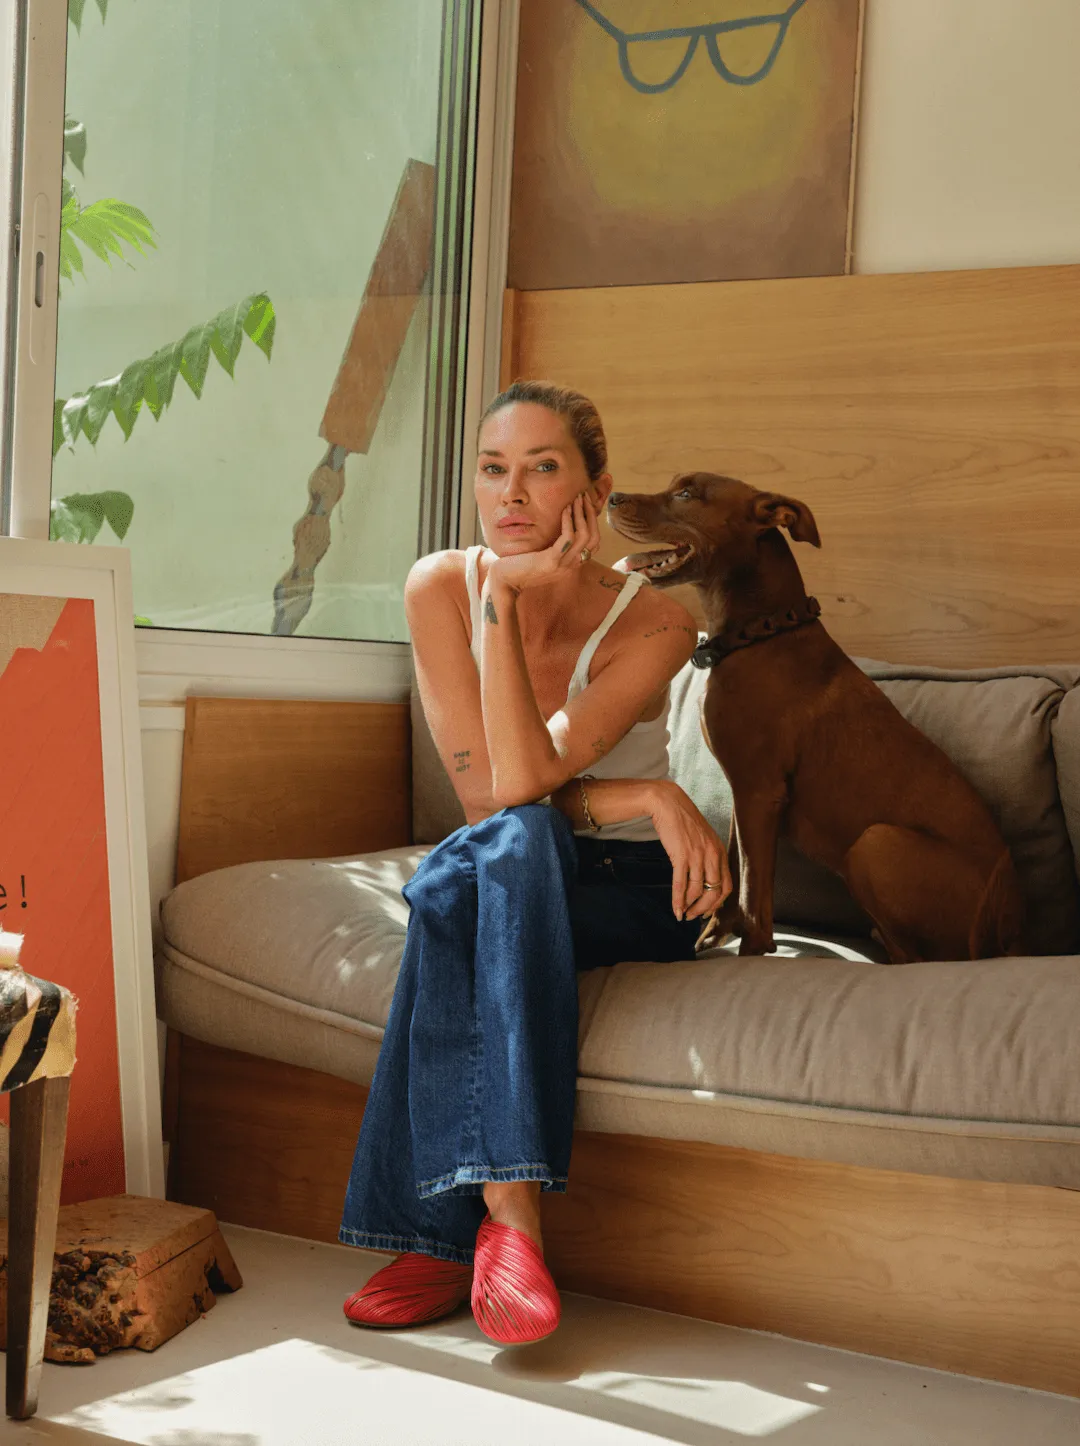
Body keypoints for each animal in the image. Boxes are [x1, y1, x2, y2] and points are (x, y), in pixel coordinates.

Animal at [608, 473, 1025, 963]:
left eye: (687, 493)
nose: (611, 496)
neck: (762, 633)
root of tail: (1006, 933)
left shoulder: (759, 792)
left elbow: (753, 891)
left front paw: (755, 951)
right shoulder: (744, 795)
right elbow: (733, 867)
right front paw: (714, 934)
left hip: (874, 843)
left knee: (917, 960)